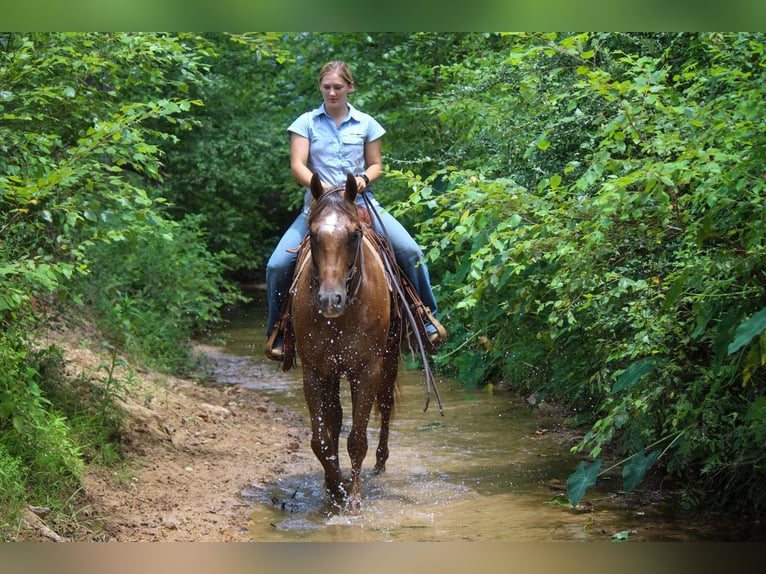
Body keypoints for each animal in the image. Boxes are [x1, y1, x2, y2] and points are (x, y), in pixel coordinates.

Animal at [292, 173, 402, 516]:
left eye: (354, 235)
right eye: (313, 234)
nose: (331, 300)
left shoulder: (365, 371)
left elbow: (356, 439)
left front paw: (352, 500)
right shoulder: (315, 372)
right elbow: (321, 439)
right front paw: (334, 487)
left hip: (390, 360)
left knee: (386, 405)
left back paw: (380, 464)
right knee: (335, 419)